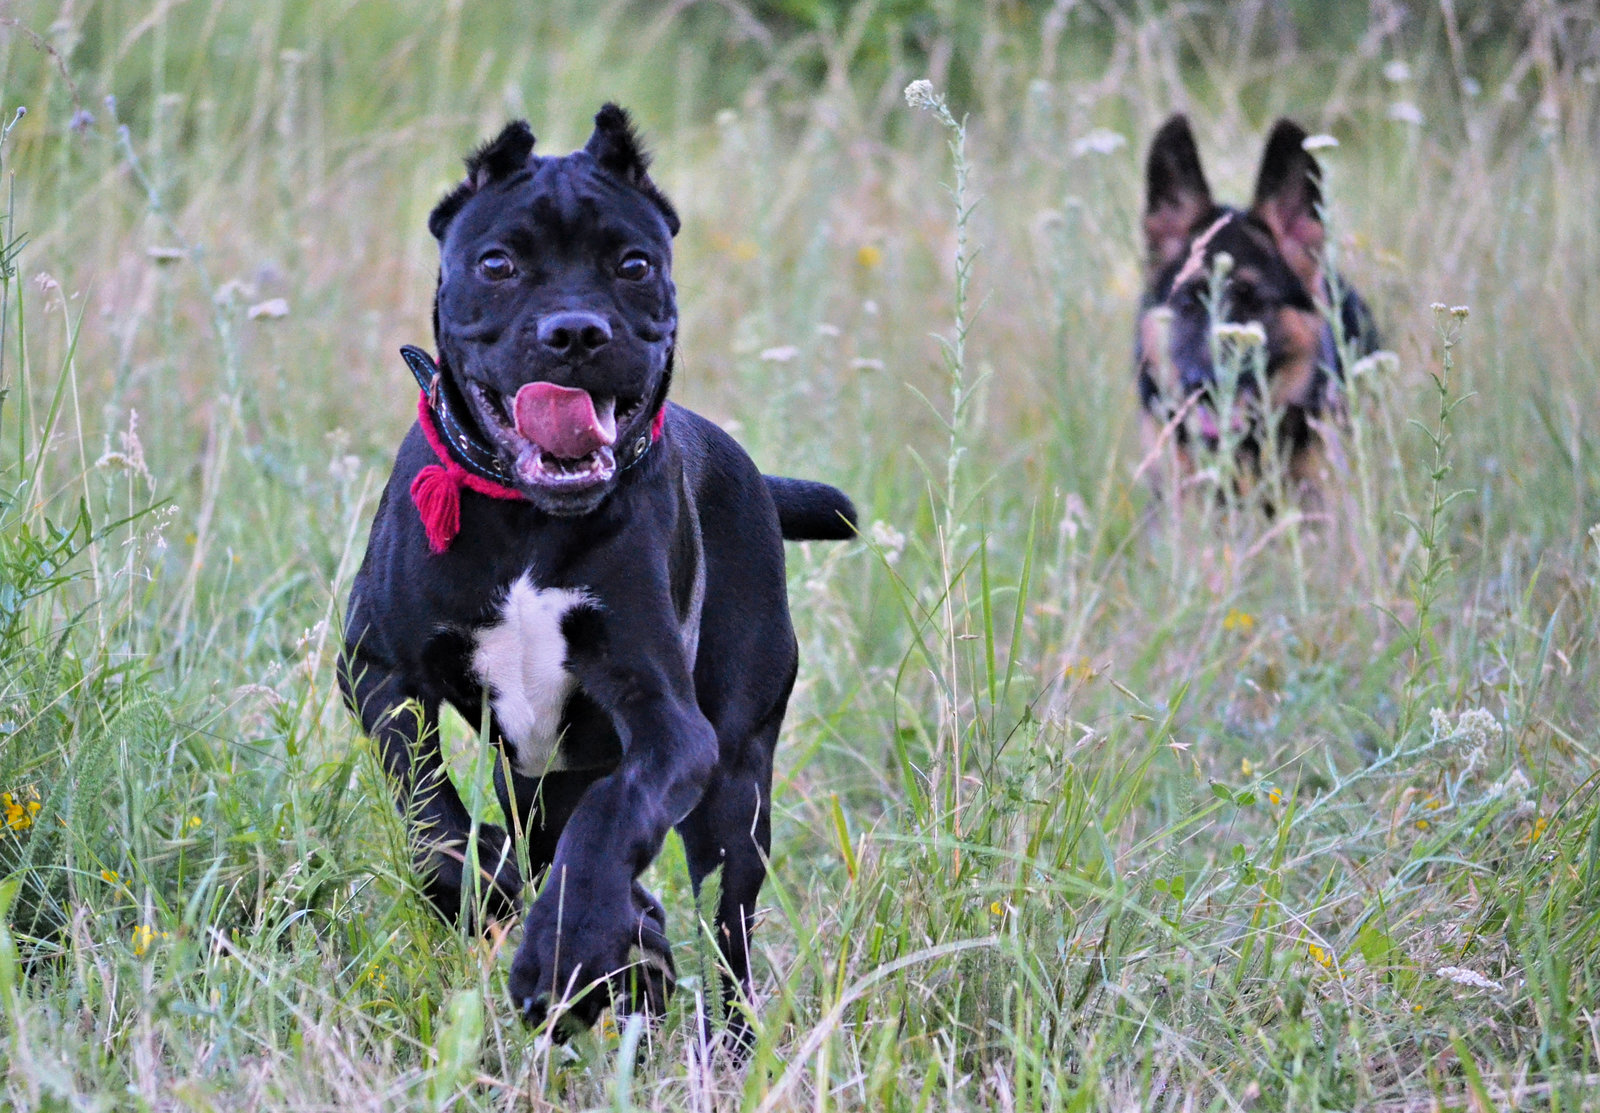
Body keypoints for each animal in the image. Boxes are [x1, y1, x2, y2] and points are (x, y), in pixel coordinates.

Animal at [339, 108, 857, 1036]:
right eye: (497, 263)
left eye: (634, 263)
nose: (575, 332)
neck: (529, 519)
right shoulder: (376, 667)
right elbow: (431, 816)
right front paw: (488, 890)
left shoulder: (669, 726)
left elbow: (612, 823)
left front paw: (564, 950)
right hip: (534, 776)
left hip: (735, 786)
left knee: (725, 931)